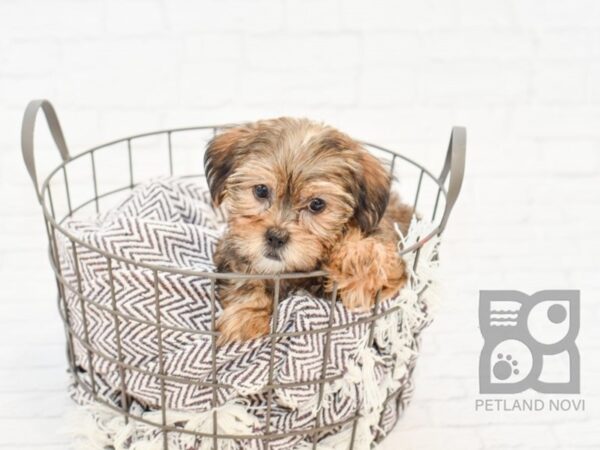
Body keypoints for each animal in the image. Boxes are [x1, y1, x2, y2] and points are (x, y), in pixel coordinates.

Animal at [203, 118, 412, 342]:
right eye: (261, 190)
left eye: (317, 204)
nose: (276, 237)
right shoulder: (233, 249)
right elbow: (245, 276)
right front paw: (247, 316)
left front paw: (359, 265)